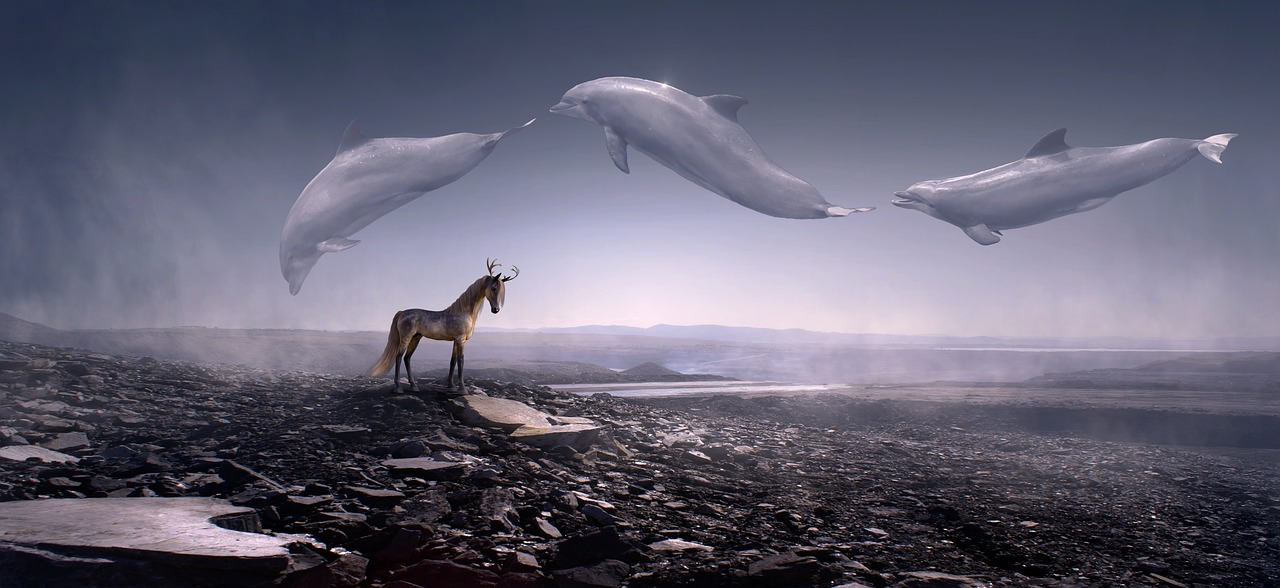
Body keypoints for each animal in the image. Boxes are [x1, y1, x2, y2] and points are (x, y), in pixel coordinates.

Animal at [371, 258, 514, 394]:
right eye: (494, 288)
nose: (496, 309)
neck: (463, 312)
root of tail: (402, 312)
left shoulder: (457, 340)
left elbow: (453, 361)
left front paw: (451, 386)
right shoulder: (461, 340)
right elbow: (461, 361)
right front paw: (462, 390)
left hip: (416, 338)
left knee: (407, 358)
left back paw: (413, 386)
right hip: (406, 338)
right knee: (399, 357)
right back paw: (398, 388)